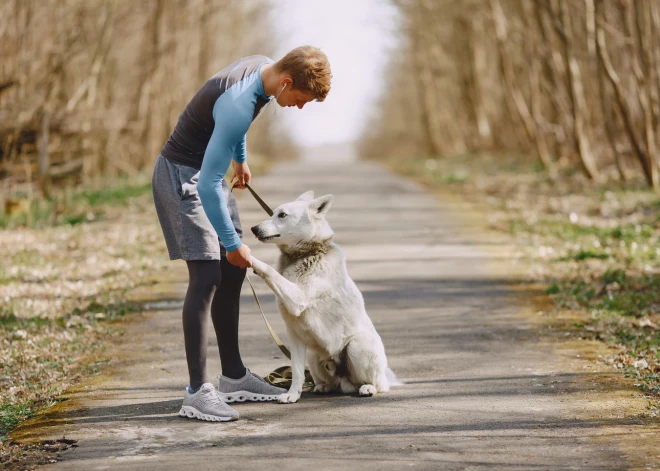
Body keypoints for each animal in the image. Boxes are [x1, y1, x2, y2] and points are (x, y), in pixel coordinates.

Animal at [250, 190, 400, 404]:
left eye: (282, 215)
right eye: (272, 213)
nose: (253, 228)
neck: (306, 254)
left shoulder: (298, 298)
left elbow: (269, 270)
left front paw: (244, 254)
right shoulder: (294, 336)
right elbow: (297, 372)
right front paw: (292, 395)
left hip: (357, 347)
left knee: (379, 384)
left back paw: (368, 388)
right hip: (313, 356)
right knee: (326, 380)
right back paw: (322, 386)